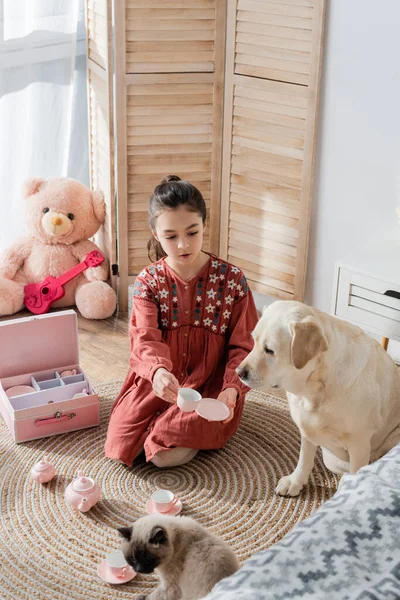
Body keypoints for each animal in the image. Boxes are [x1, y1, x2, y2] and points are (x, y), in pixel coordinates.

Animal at [236, 300, 400, 496]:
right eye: (254, 341)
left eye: (269, 350)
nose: (238, 372)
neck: (313, 391)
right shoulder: (307, 429)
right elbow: (304, 459)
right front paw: (295, 482)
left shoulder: (359, 444)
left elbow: (357, 469)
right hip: (332, 459)